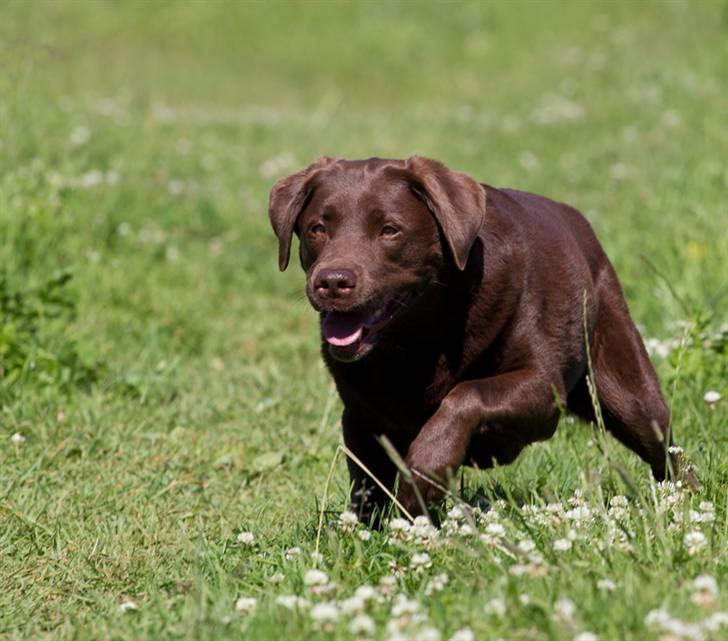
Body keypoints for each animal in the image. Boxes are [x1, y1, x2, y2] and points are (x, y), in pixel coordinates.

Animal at [268, 156, 692, 520]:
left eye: (389, 230)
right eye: (318, 229)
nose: (332, 281)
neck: (417, 342)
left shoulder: (541, 388)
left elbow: (466, 395)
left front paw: (425, 472)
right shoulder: (361, 414)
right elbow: (368, 482)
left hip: (625, 386)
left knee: (664, 446)